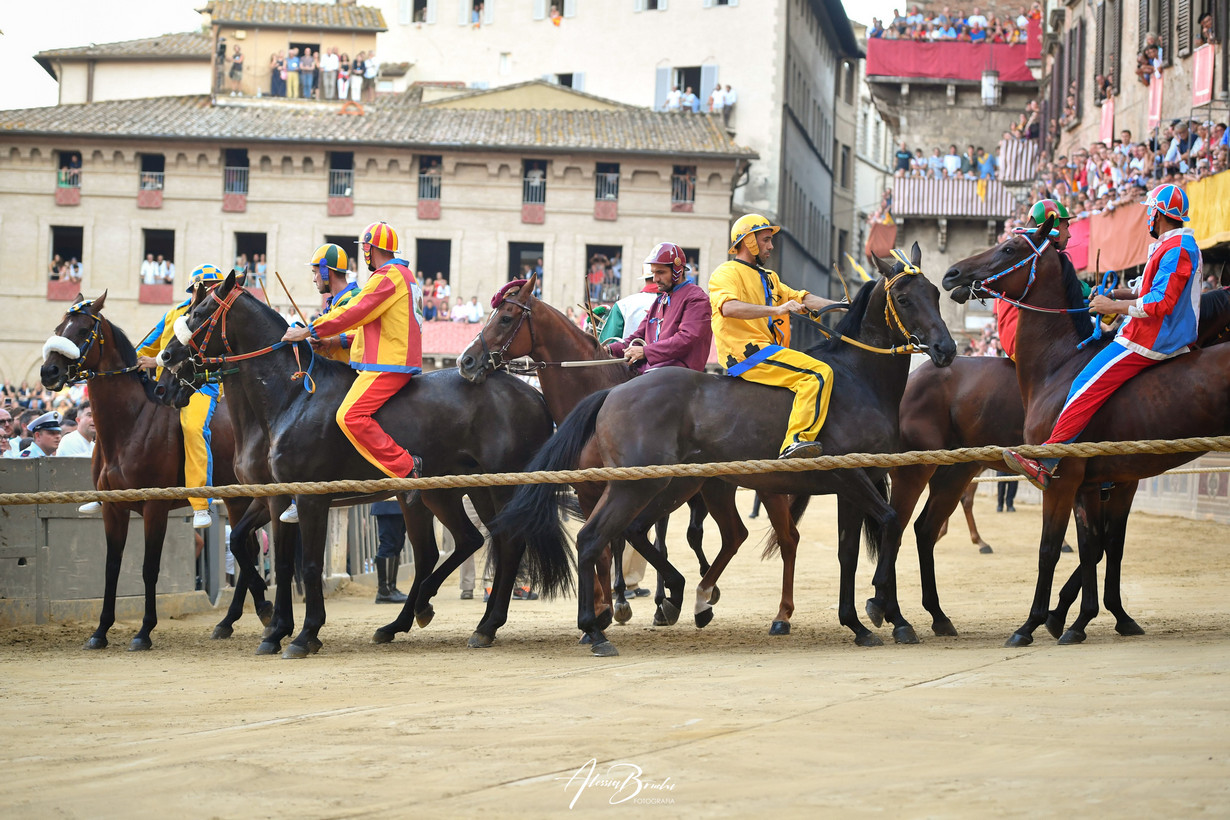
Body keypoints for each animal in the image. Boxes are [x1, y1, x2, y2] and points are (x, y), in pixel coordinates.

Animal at [39, 291, 268, 649]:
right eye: (58, 328)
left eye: (83, 330)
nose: (49, 371)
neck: (130, 423)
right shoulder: (113, 508)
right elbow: (112, 566)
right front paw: (100, 631)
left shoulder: (154, 507)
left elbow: (149, 568)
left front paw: (144, 630)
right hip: (236, 498)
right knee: (248, 546)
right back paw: (229, 621)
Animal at [158, 272, 553, 658]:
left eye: (199, 312)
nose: (165, 359)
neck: (293, 397)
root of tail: (532, 392)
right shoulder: (277, 495)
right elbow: (266, 555)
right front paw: (276, 629)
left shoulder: (309, 498)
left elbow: (308, 564)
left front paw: (303, 633)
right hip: (459, 492)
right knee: (476, 541)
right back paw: (425, 618)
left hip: (495, 489)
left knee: (504, 543)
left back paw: (478, 623)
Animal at [457, 272, 718, 624]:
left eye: (506, 318)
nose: (466, 361)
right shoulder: (588, 489)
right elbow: (606, 546)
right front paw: (605, 604)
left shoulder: (621, 486)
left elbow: (615, 541)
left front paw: (610, 606)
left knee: (687, 534)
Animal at [484, 247, 954, 658]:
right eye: (905, 298)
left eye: (935, 293)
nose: (946, 349)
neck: (856, 379)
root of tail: (613, 393)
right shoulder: (850, 477)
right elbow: (890, 524)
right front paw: (886, 614)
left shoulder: (858, 480)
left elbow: (852, 550)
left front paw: (865, 619)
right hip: (641, 487)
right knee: (596, 538)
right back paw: (602, 627)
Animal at [939, 216, 1230, 649]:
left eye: (1009, 248)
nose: (952, 274)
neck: (1060, 365)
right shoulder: (1098, 483)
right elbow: (1098, 547)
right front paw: (1082, 619)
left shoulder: (1066, 481)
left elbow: (1055, 549)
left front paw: (1035, 623)